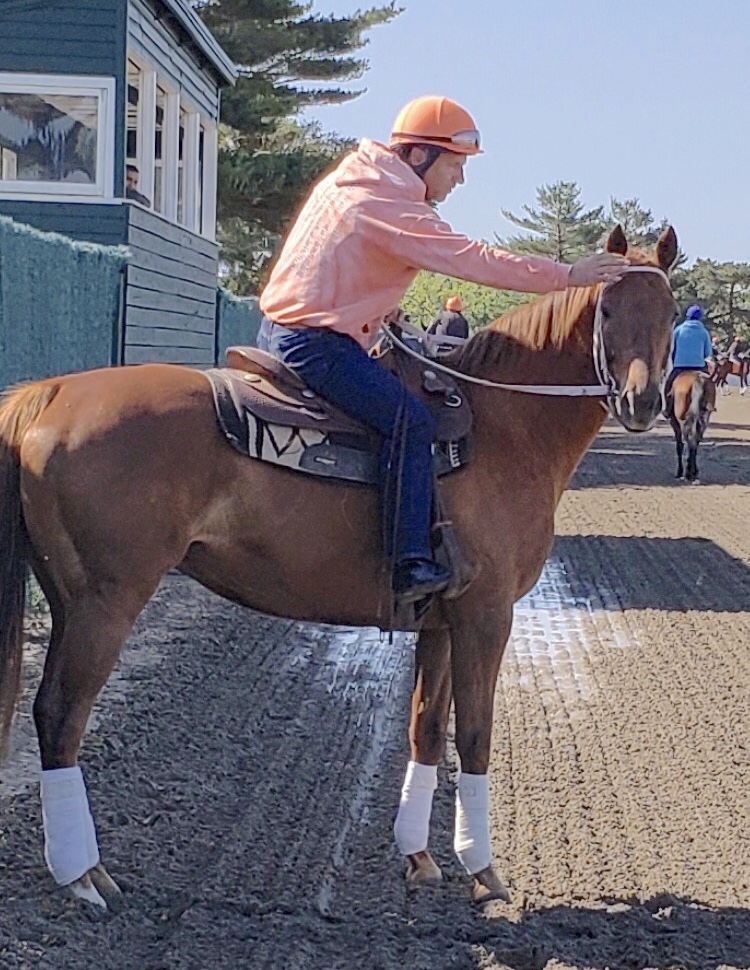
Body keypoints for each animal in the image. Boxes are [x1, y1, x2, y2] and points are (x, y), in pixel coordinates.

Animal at [0, 227, 680, 908]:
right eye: (608, 310)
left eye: (672, 313)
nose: (642, 401)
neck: (501, 428)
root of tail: (50, 394)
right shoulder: (487, 616)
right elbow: (476, 735)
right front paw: (483, 870)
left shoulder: (440, 622)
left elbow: (425, 727)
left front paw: (418, 857)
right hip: (105, 601)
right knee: (60, 715)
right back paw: (84, 875)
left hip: (69, 600)